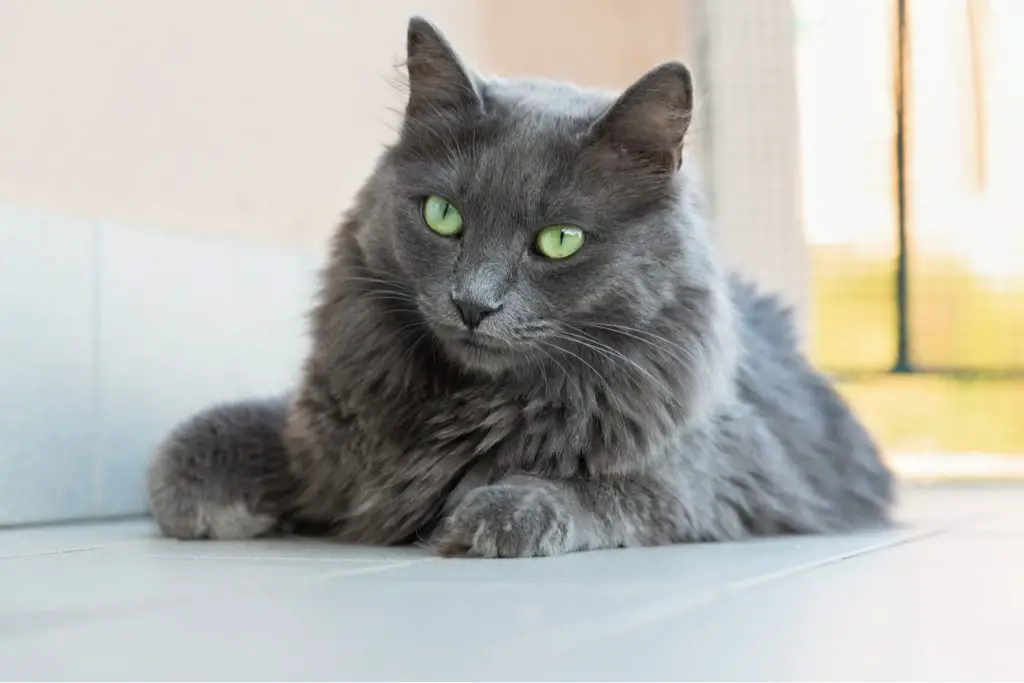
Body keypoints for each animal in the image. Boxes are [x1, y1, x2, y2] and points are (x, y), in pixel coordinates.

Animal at [148, 17, 892, 561]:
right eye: (441, 215)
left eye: (560, 240)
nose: (473, 304)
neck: (463, 406)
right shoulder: (319, 429)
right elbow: (197, 441)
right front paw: (208, 500)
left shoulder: (713, 477)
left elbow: (600, 490)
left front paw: (498, 510)